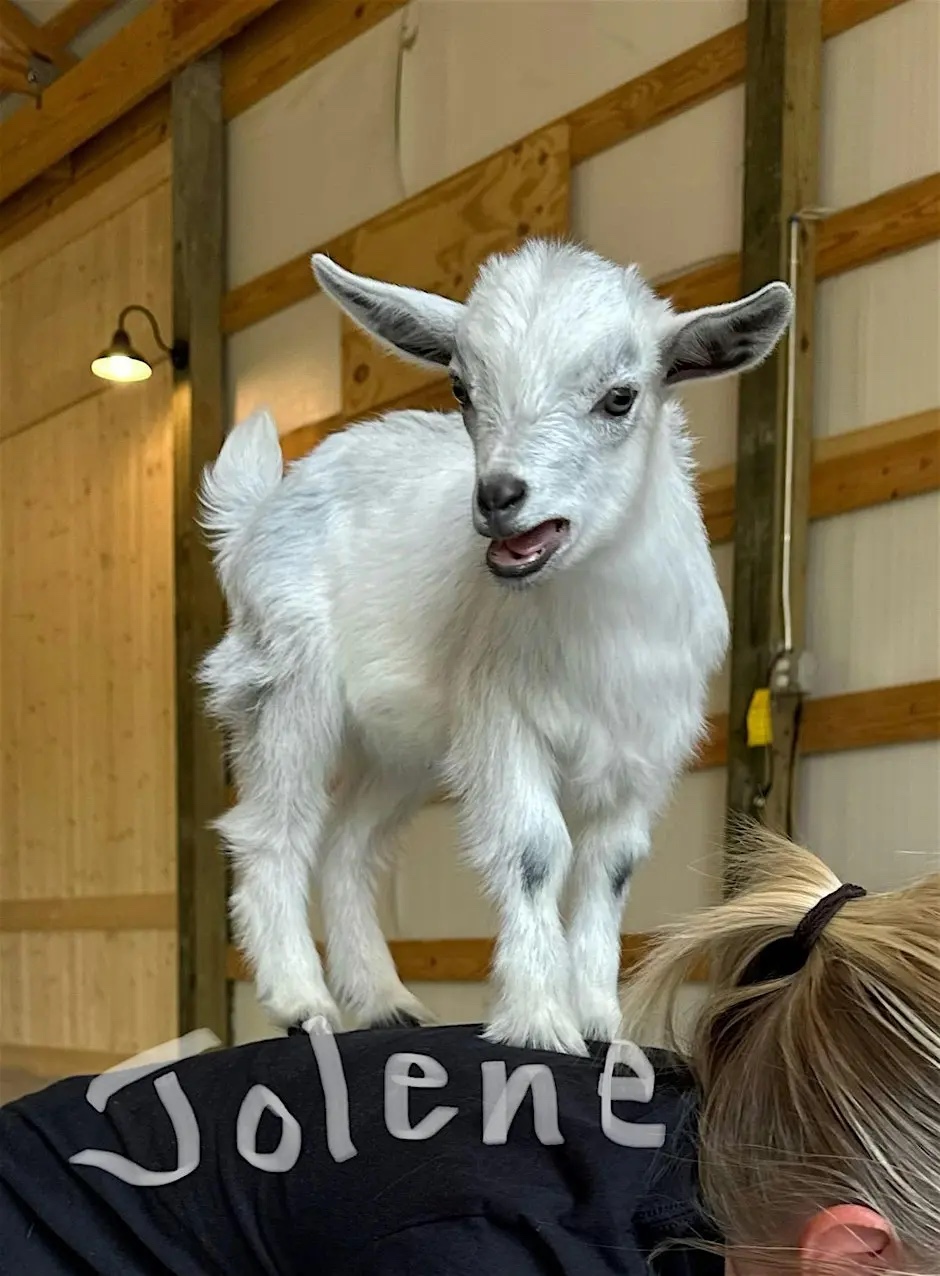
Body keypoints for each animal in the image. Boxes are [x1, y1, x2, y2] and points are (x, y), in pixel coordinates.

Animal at [199, 238, 792, 1054]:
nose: (498, 495)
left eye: (620, 397)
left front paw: (601, 1021)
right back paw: (301, 1001)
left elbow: (611, 870)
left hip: (402, 746)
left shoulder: (647, 750)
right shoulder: (504, 723)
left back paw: (385, 1000)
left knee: (350, 848)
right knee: (272, 833)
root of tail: (259, 512)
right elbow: (536, 852)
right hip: (286, 684)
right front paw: (540, 1019)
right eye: (461, 387)